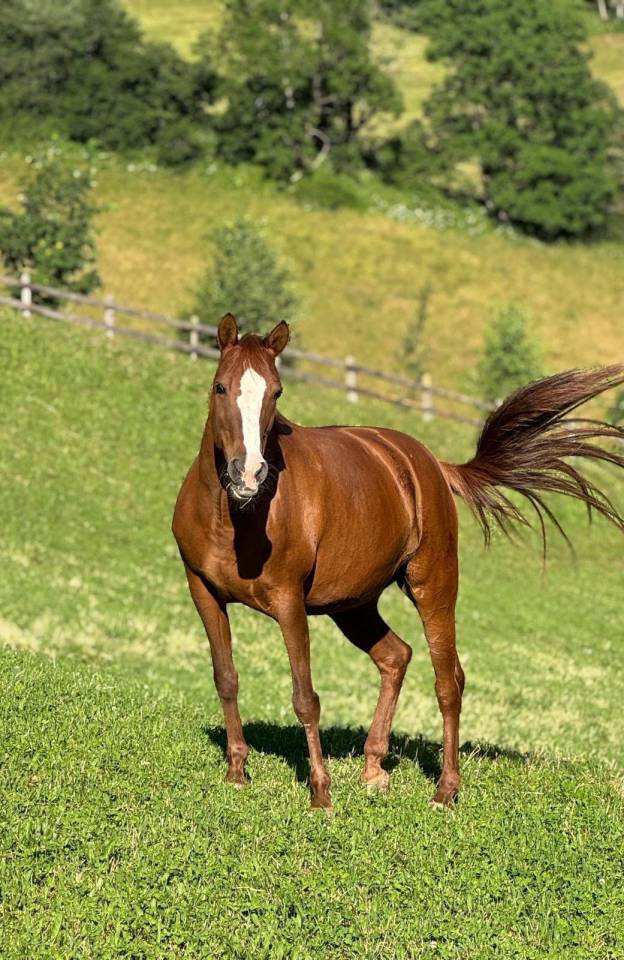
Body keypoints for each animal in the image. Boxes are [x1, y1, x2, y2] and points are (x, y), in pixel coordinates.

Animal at [172, 313, 624, 810]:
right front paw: (236, 773)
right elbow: (226, 678)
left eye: (276, 391)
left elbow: (305, 696)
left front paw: (321, 794)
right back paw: (373, 768)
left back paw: (445, 790)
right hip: (353, 605)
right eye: (220, 387)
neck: (238, 517)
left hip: (432, 585)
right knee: (395, 656)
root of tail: (429, 464)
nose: (249, 473)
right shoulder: (204, 592)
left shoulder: (289, 602)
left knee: (449, 681)